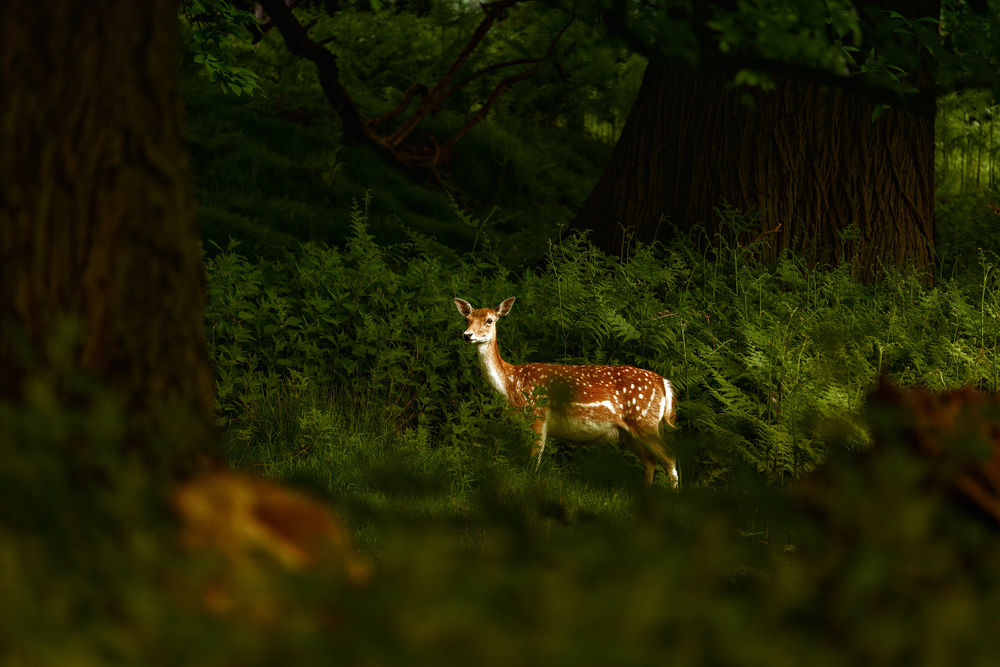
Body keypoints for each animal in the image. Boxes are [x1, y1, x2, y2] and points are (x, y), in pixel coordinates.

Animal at [456, 294, 680, 488]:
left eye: (489, 320)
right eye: (467, 319)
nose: (467, 335)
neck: (512, 383)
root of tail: (663, 383)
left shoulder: (538, 414)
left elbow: (534, 460)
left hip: (645, 421)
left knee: (670, 458)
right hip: (628, 432)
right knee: (650, 461)